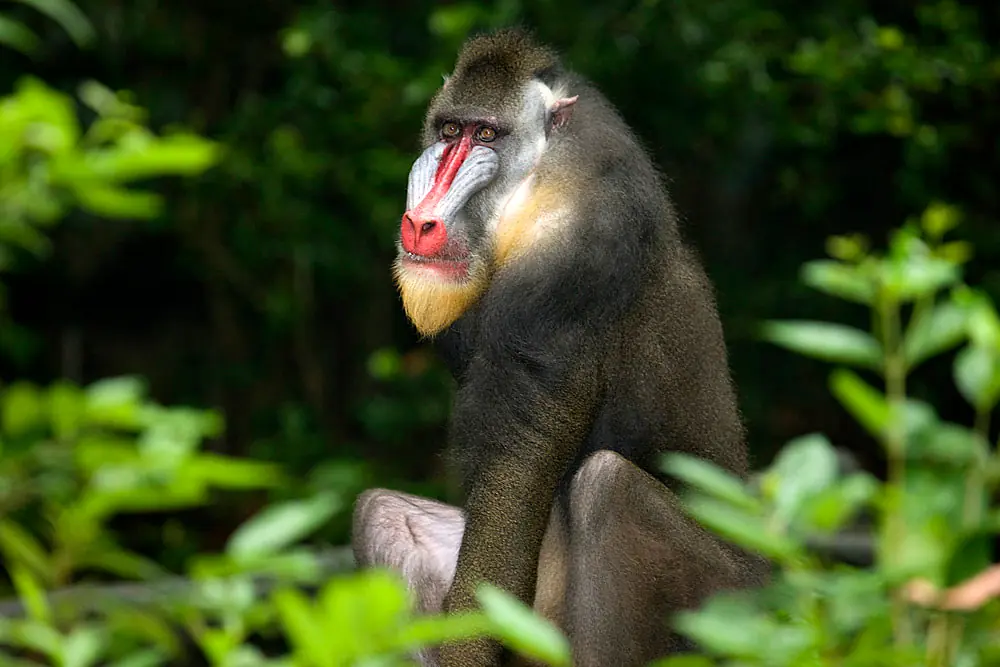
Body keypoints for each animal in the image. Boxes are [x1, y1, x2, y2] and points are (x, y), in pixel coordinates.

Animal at [353, 29, 768, 667]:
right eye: (450, 131)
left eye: (487, 136)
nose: (420, 224)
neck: (534, 186)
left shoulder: (567, 267)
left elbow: (520, 460)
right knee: (382, 514)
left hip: (731, 607)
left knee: (606, 487)